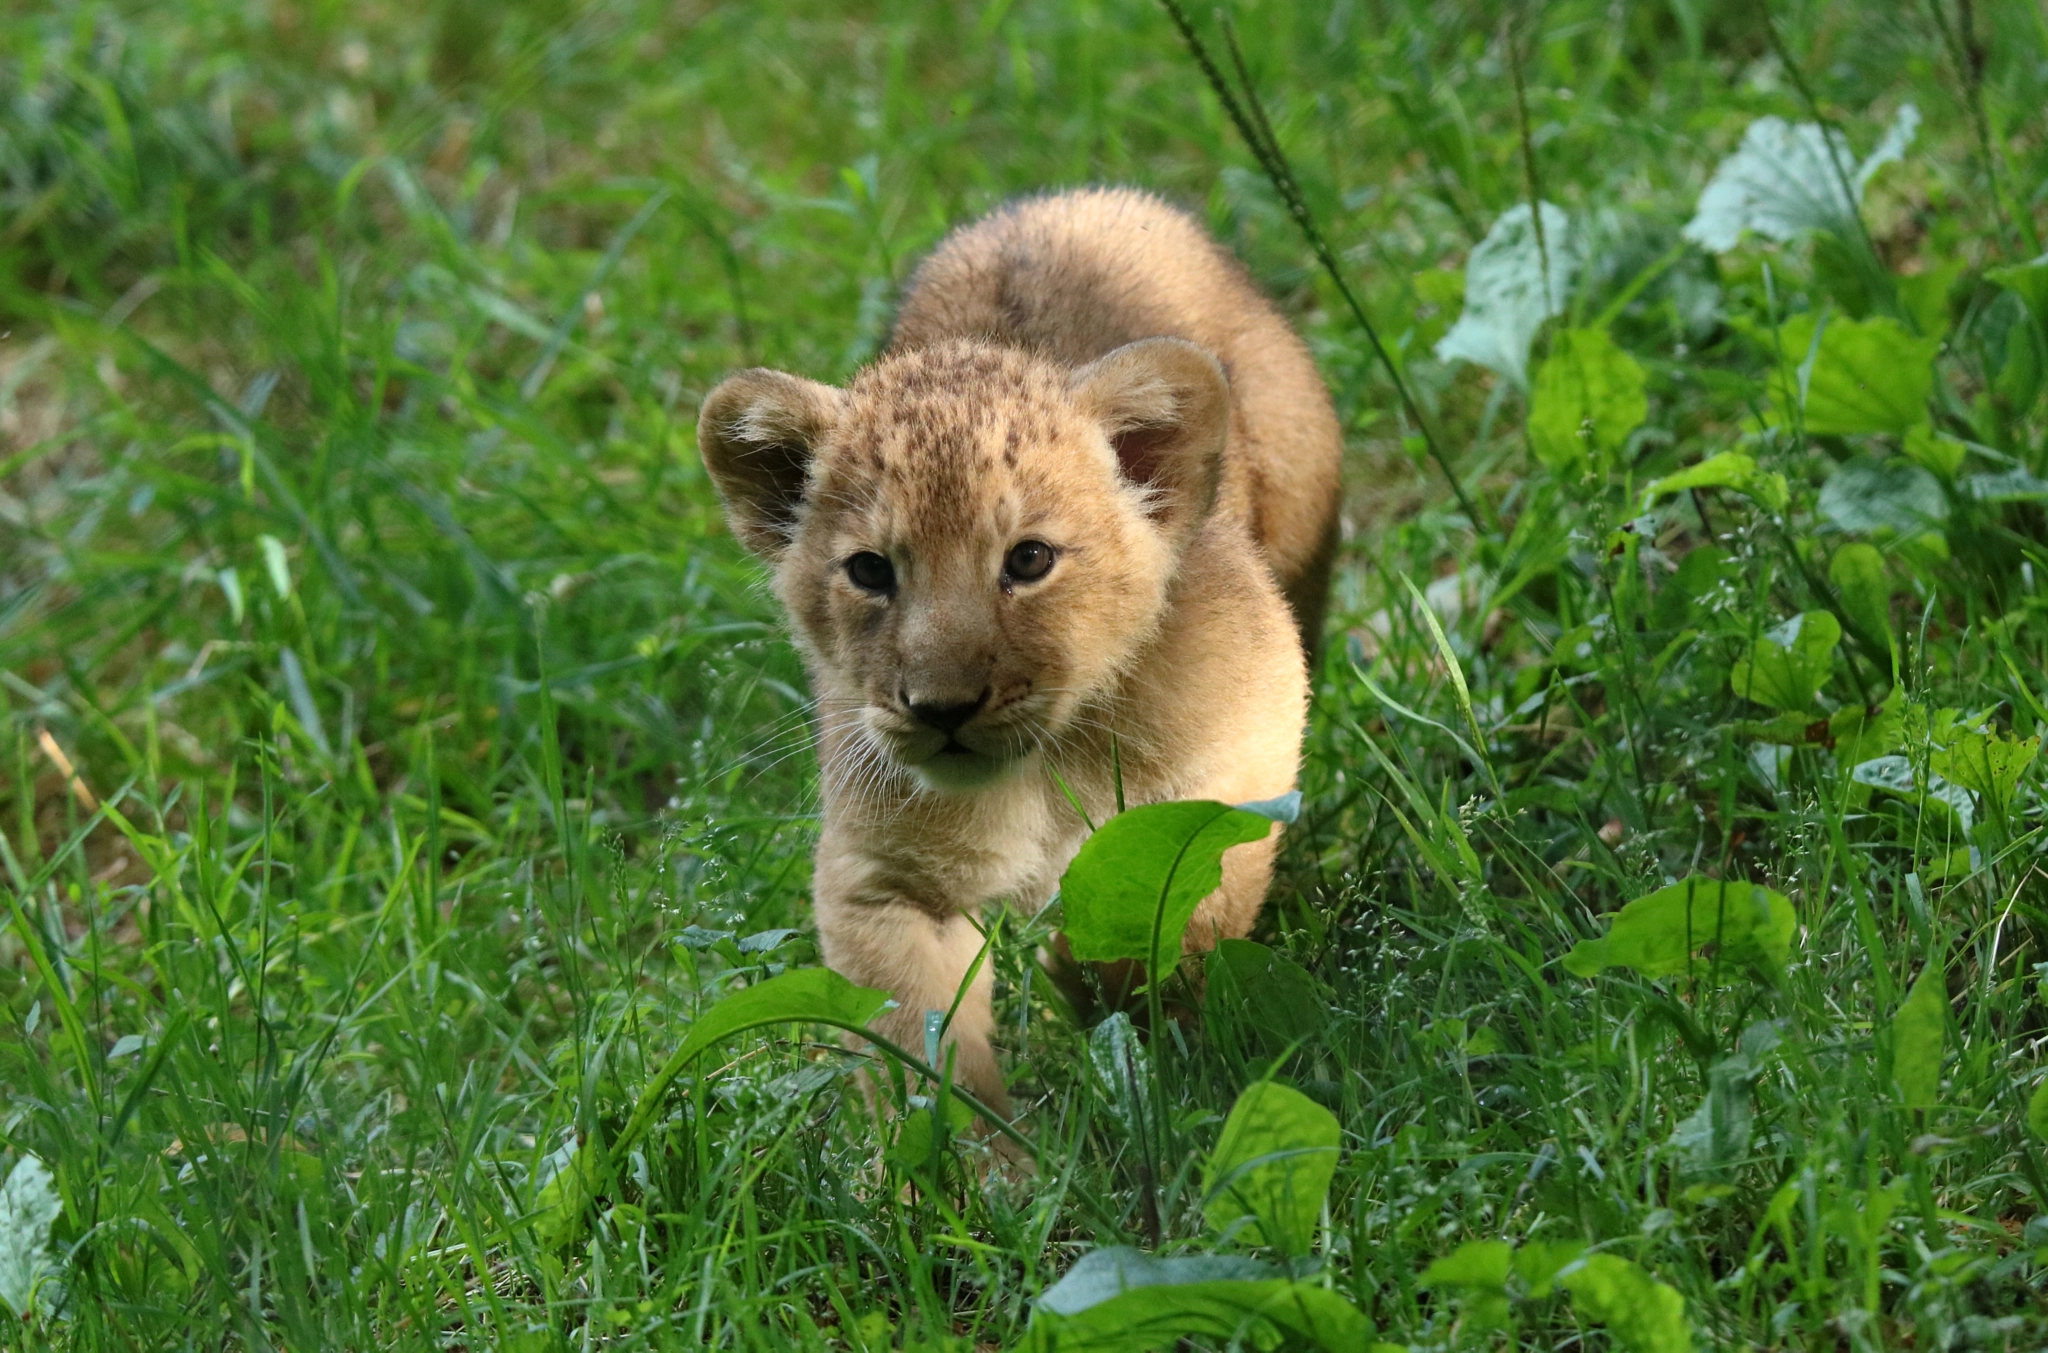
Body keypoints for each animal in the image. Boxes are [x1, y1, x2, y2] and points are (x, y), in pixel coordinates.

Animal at [696, 187, 1342, 1118]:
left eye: (1029, 560)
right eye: (869, 571)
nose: (943, 708)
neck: (1045, 767)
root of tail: (1070, 198)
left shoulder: (1239, 765)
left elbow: (1168, 920)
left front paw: (1133, 1018)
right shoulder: (879, 876)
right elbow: (921, 1059)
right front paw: (975, 1156)